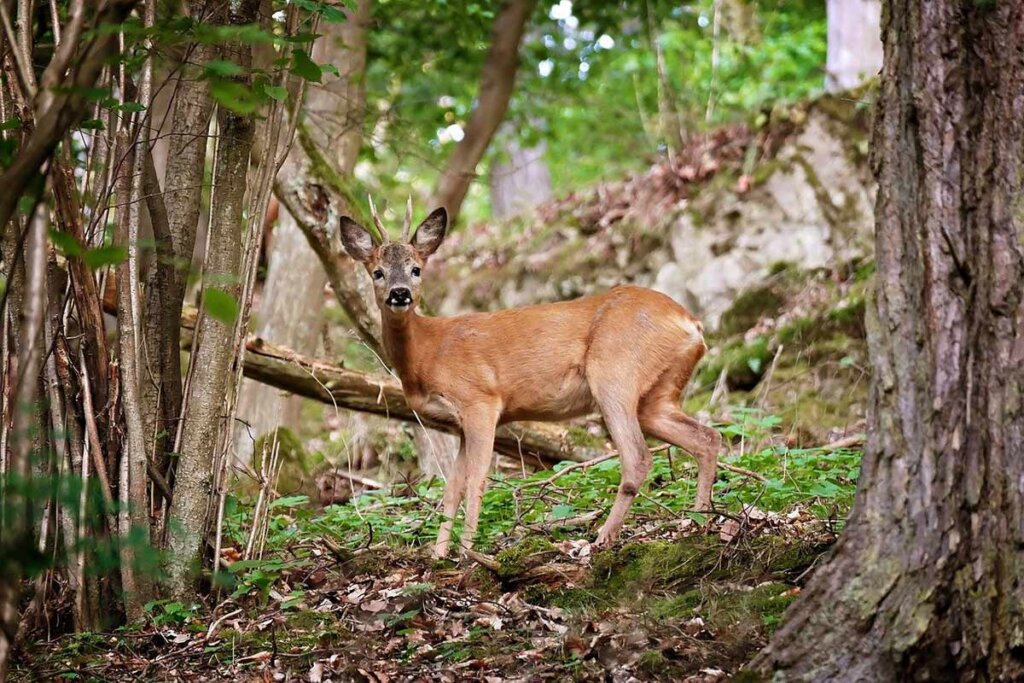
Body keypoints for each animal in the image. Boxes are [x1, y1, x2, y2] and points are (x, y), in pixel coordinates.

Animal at [337, 200, 720, 557]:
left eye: (416, 269)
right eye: (377, 272)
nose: (400, 293)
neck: (426, 353)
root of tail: (691, 324)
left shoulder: (480, 400)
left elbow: (476, 480)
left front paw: (466, 553)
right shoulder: (458, 425)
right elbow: (452, 487)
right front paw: (438, 555)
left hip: (615, 372)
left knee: (638, 457)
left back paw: (601, 539)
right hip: (657, 394)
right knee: (706, 437)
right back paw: (698, 522)